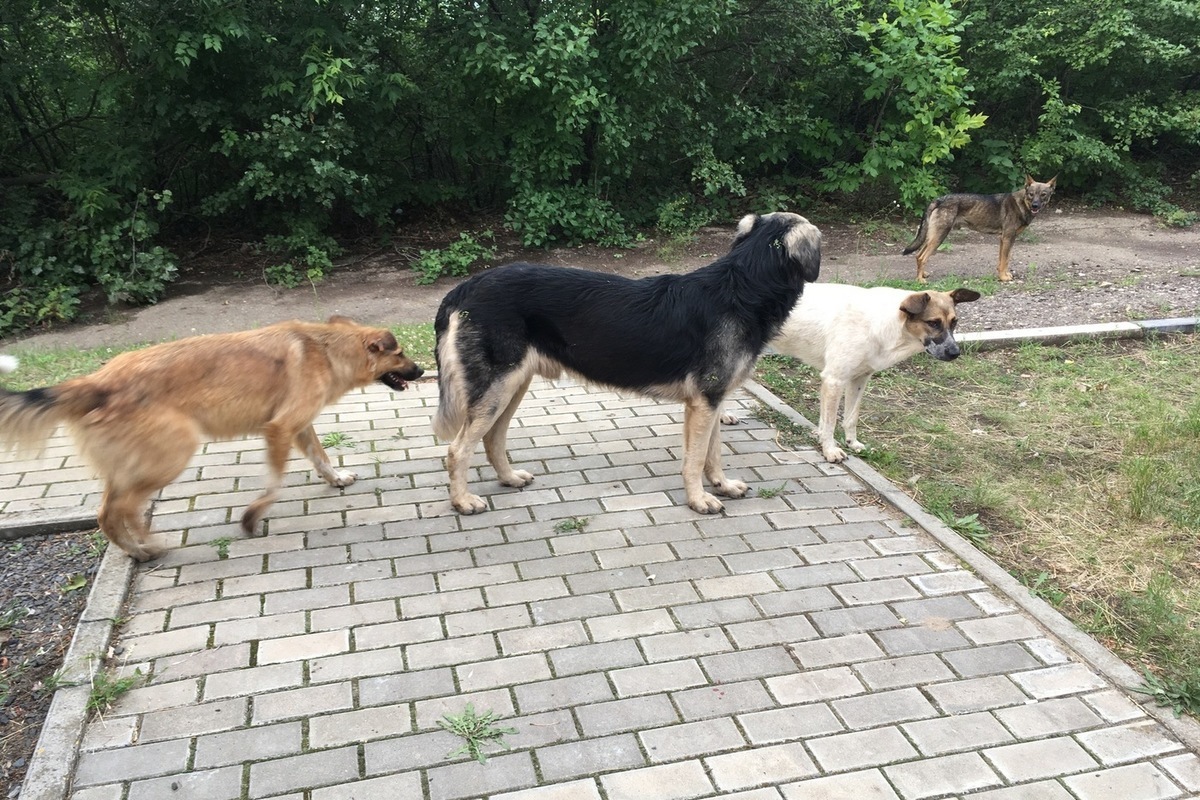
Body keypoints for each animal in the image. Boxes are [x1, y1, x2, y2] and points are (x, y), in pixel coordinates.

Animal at [0, 319, 427, 563]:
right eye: (401, 353)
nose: (423, 370)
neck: (326, 348)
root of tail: (96, 382)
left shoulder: (300, 426)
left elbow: (320, 458)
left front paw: (336, 479)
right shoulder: (279, 428)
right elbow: (274, 485)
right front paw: (252, 517)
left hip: (131, 466)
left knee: (111, 513)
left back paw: (137, 548)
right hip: (170, 456)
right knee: (121, 512)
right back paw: (145, 547)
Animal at [429, 211, 816, 513]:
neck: (743, 285)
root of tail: (465, 287)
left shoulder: (713, 402)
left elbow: (713, 453)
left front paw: (721, 484)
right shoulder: (704, 404)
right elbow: (694, 460)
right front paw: (698, 499)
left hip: (512, 386)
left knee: (492, 438)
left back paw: (508, 479)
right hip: (497, 389)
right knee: (457, 450)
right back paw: (462, 501)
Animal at [744, 283, 979, 462]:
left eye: (954, 322)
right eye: (933, 323)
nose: (955, 353)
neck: (884, 323)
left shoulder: (858, 379)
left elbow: (850, 417)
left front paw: (851, 442)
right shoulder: (834, 380)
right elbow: (830, 423)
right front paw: (830, 450)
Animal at [902, 176, 1056, 283]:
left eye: (1043, 194)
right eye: (1031, 194)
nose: (1035, 205)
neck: (1022, 203)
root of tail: (939, 200)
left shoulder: (1004, 240)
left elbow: (1003, 261)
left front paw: (1003, 274)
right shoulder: (1007, 238)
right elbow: (1005, 261)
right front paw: (1003, 277)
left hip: (932, 237)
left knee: (918, 255)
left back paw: (923, 274)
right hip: (939, 238)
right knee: (921, 257)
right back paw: (920, 280)